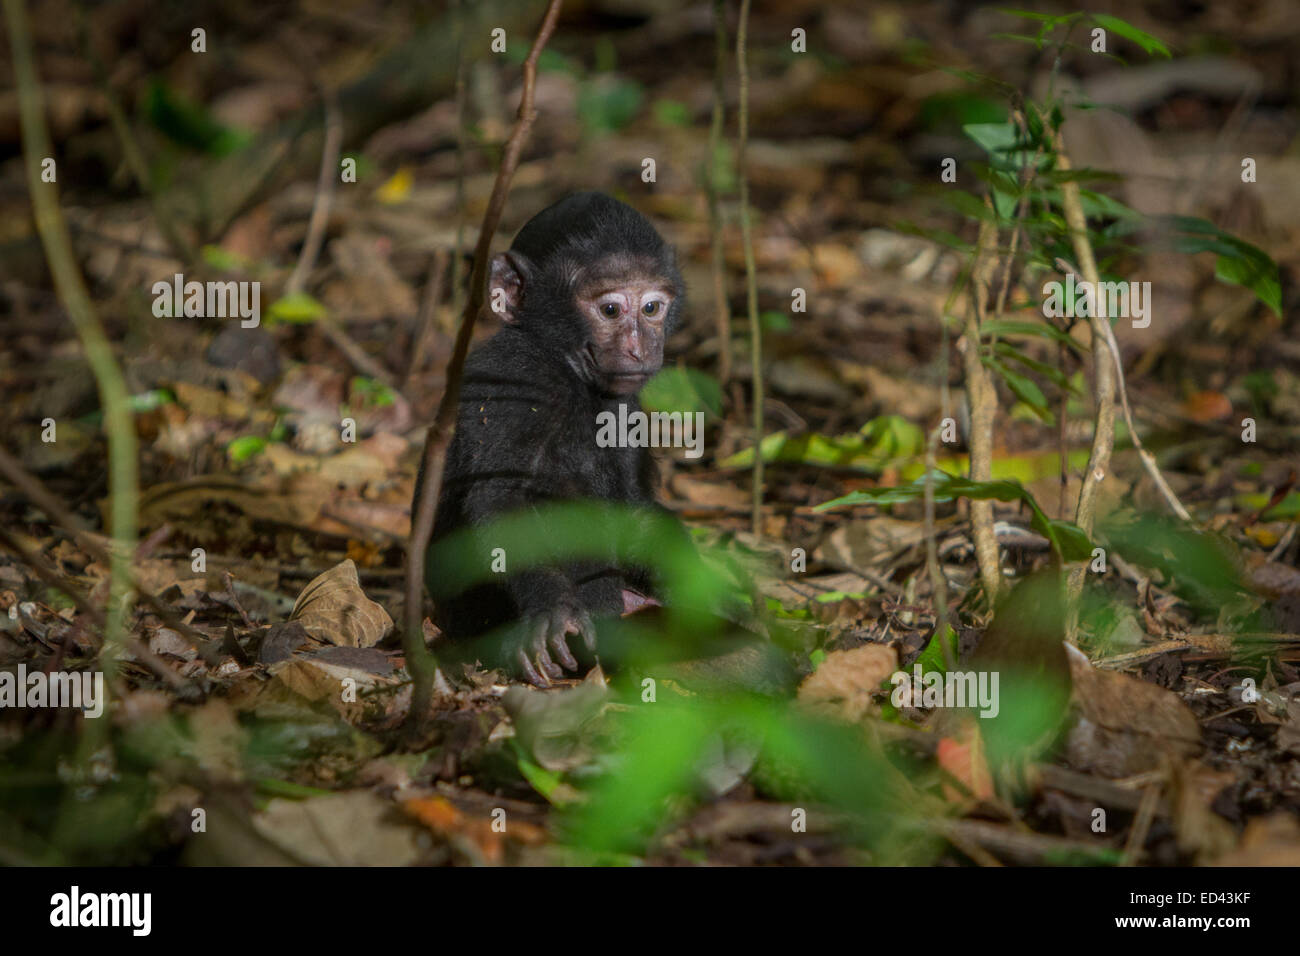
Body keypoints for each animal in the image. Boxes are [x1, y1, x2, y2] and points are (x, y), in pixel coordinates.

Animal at [426, 192, 691, 686]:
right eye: (610, 310)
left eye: (651, 308)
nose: (639, 349)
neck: (564, 368)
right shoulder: (515, 380)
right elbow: (502, 500)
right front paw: (554, 612)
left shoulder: (625, 407)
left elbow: (633, 507)